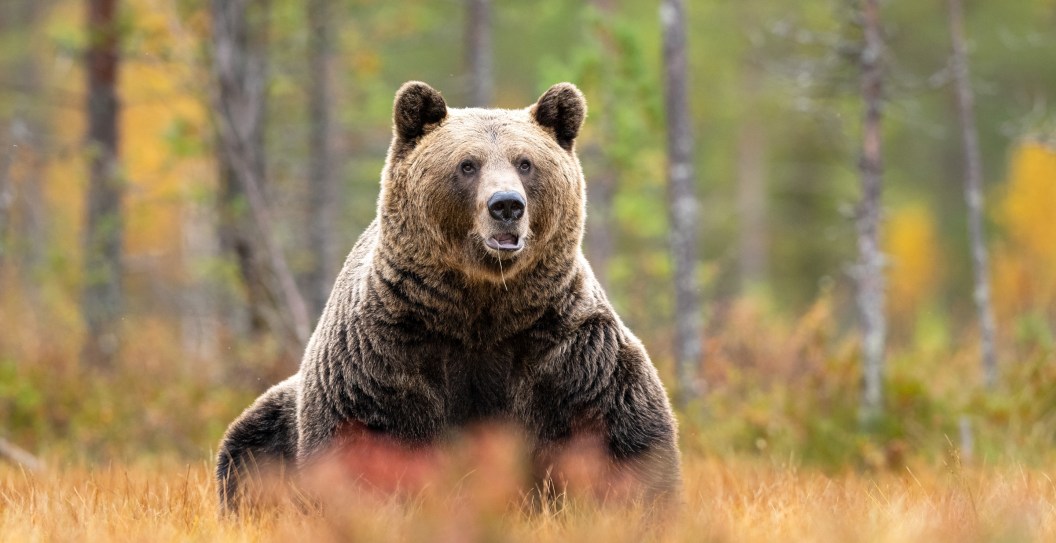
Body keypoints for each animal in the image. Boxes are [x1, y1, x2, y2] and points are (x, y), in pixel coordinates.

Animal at [216, 81, 682, 513]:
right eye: (467, 164)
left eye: (525, 162)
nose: (506, 205)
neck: (479, 307)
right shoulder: (386, 353)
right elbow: (365, 442)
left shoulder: (565, 349)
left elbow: (619, 434)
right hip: (278, 416)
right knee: (248, 449)